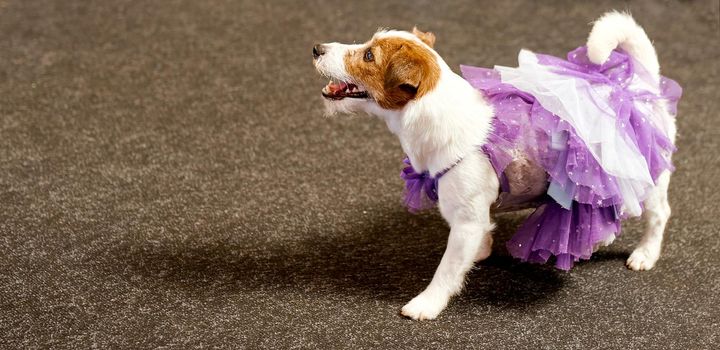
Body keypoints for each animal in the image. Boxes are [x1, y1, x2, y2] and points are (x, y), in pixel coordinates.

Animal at [312, 12, 676, 320]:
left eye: (369, 56)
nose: (316, 48)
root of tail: (639, 87)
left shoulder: (466, 222)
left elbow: (446, 269)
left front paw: (427, 303)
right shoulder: (473, 215)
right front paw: (479, 253)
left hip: (650, 182)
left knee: (659, 214)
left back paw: (645, 253)